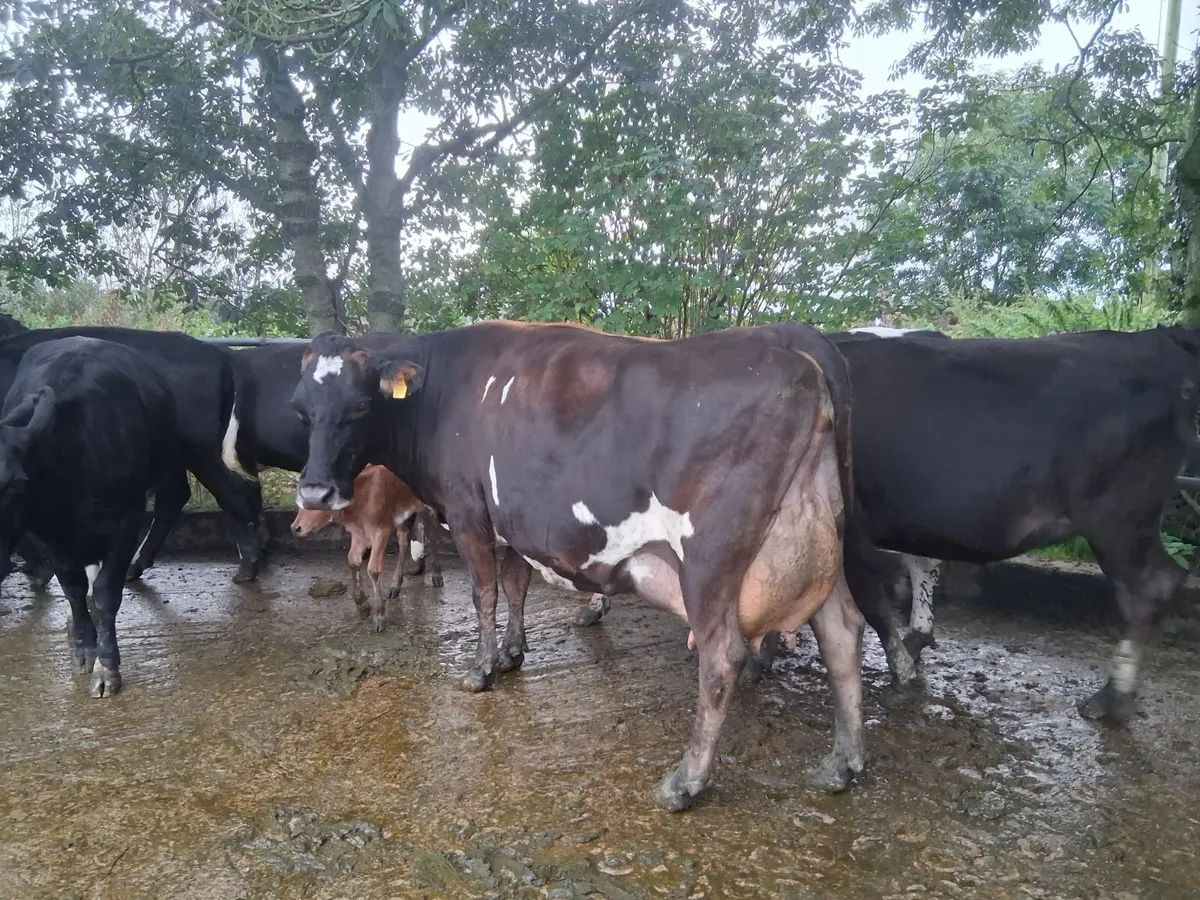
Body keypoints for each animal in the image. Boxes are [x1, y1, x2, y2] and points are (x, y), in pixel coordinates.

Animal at [0, 326, 264, 585]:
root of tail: (218, 356)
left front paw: (37, 567)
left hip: (199, 448)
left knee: (231, 493)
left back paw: (248, 564)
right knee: (178, 495)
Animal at [0, 336, 181, 697]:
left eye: (14, 485)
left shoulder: (126, 523)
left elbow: (106, 592)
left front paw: (106, 666)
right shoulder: (49, 535)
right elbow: (72, 586)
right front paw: (84, 648)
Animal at [290, 463, 444, 631]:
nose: (295, 528)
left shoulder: (380, 530)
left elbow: (373, 569)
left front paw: (379, 615)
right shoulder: (358, 533)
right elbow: (353, 561)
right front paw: (362, 606)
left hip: (426, 504)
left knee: (431, 531)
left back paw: (436, 575)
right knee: (404, 541)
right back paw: (395, 585)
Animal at [822, 325, 1200, 725]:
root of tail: (1161, 338)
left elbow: (872, 603)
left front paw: (901, 674)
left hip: (1119, 519)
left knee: (1152, 586)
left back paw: (1113, 696)